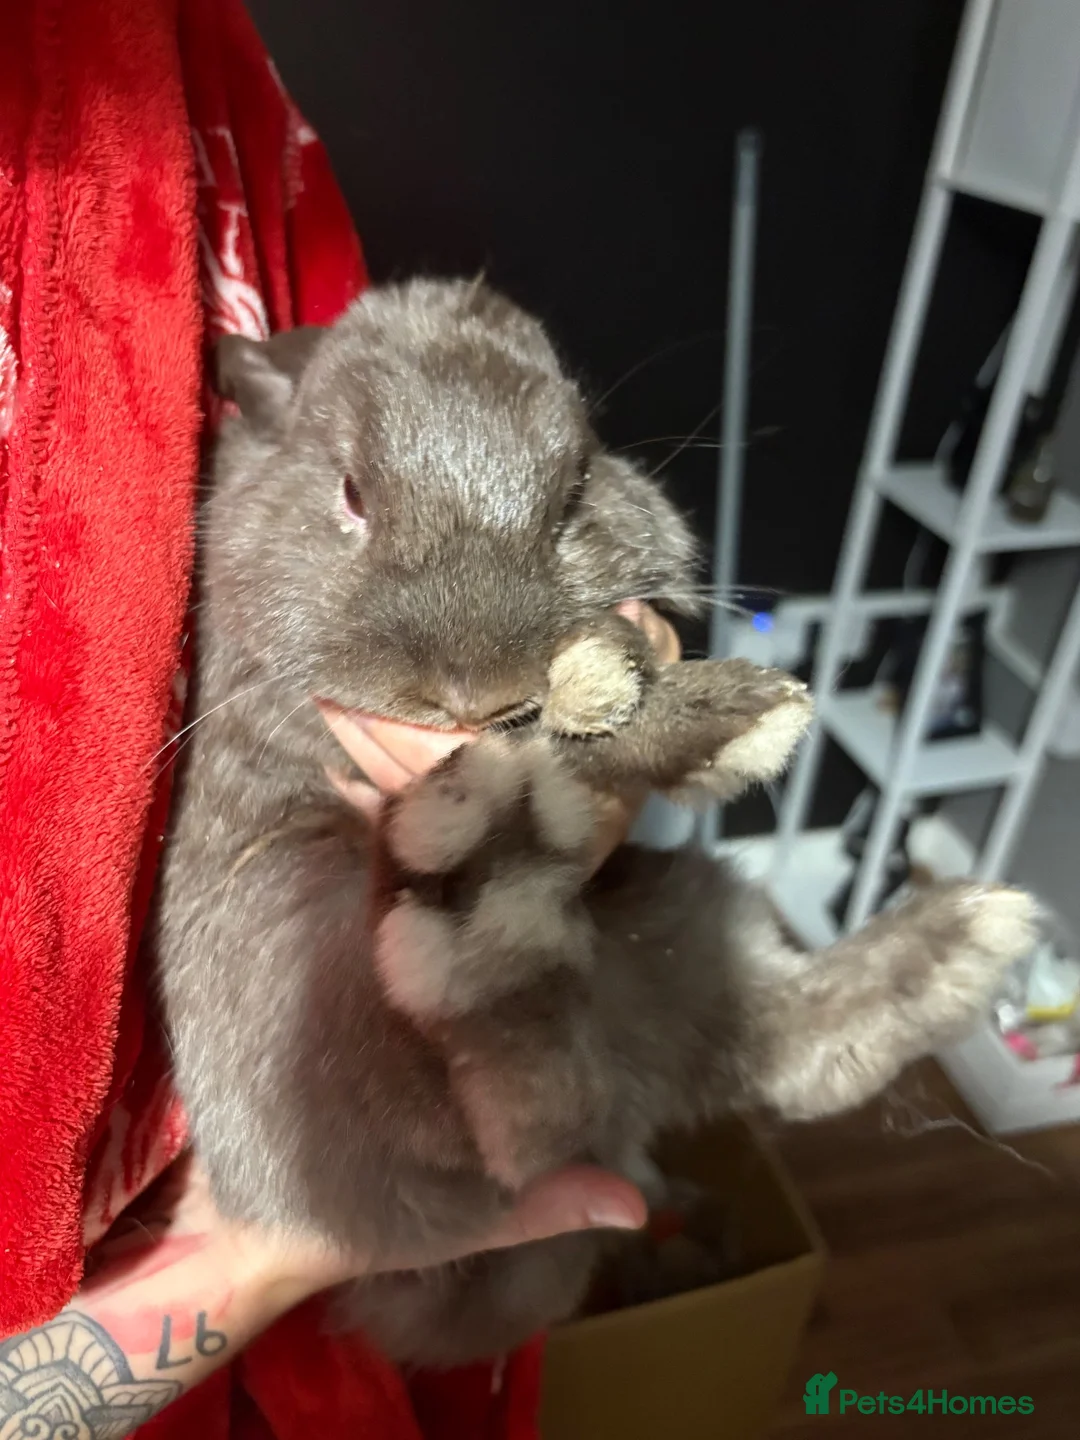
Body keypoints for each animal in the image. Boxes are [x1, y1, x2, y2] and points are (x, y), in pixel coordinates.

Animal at [152, 277, 1038, 1367]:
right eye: (352, 494)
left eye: (574, 494)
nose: (480, 690)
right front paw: (664, 712)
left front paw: (661, 700)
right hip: (297, 960)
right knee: (478, 1107)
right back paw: (491, 906)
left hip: (679, 917)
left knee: (752, 1056)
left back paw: (957, 937)